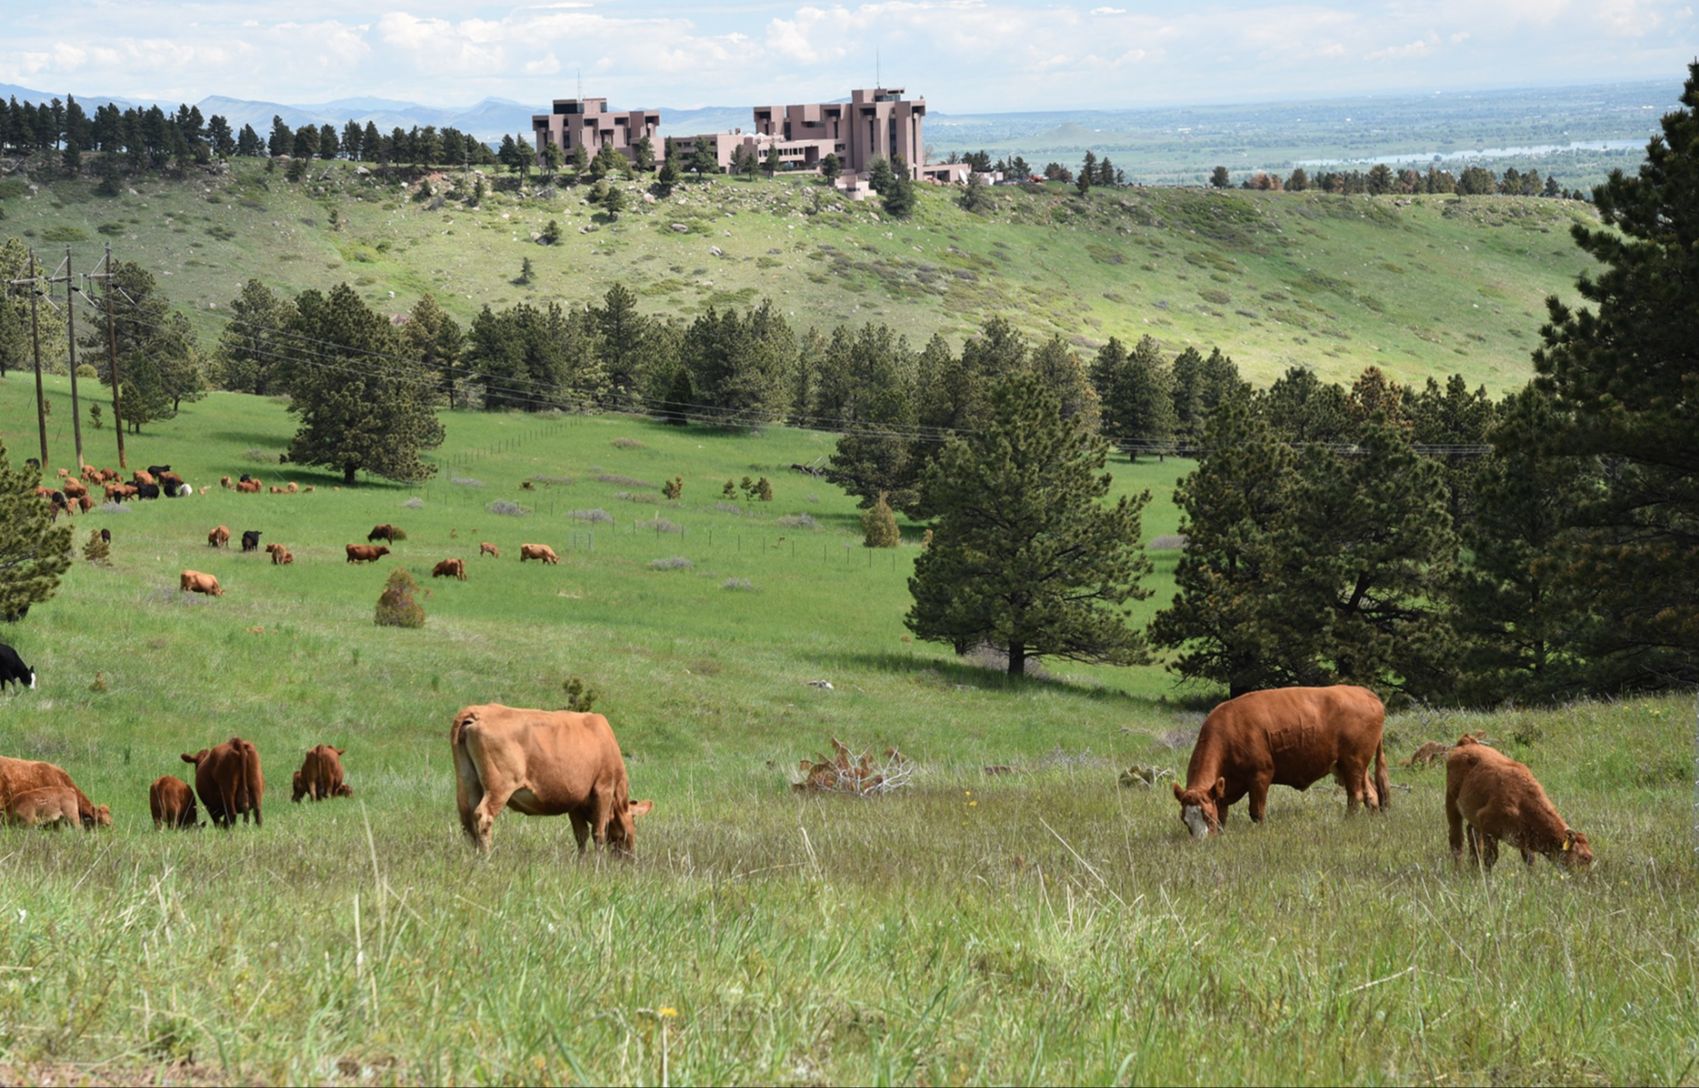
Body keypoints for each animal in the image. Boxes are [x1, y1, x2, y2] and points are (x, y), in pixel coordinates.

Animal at [450, 704, 654, 855]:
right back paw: (487, 857)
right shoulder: (604, 788)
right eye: (633, 822)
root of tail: (478, 712)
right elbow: (598, 833)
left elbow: (581, 835)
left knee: (467, 819)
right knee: (483, 816)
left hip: (467, 781)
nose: (630, 857)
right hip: (499, 786)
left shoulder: (576, 800)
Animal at [1172, 685, 1388, 839]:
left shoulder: (1260, 776)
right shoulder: (1223, 789)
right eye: (1185, 820)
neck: (1229, 730)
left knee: (1355, 796)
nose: (1201, 841)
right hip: (1351, 766)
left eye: (1206, 816)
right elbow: (1223, 814)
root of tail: (1365, 693)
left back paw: (1348, 822)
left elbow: (1256, 812)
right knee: (1371, 794)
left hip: (1353, 763)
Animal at [1445, 736, 1591, 871]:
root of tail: (1467, 742)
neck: (1522, 802)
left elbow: (1530, 861)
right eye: (1585, 858)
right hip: (1451, 803)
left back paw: (1474, 868)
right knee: (1456, 839)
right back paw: (1458, 870)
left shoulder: (1525, 840)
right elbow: (1490, 858)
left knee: (1472, 836)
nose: (1587, 879)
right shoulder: (1488, 828)